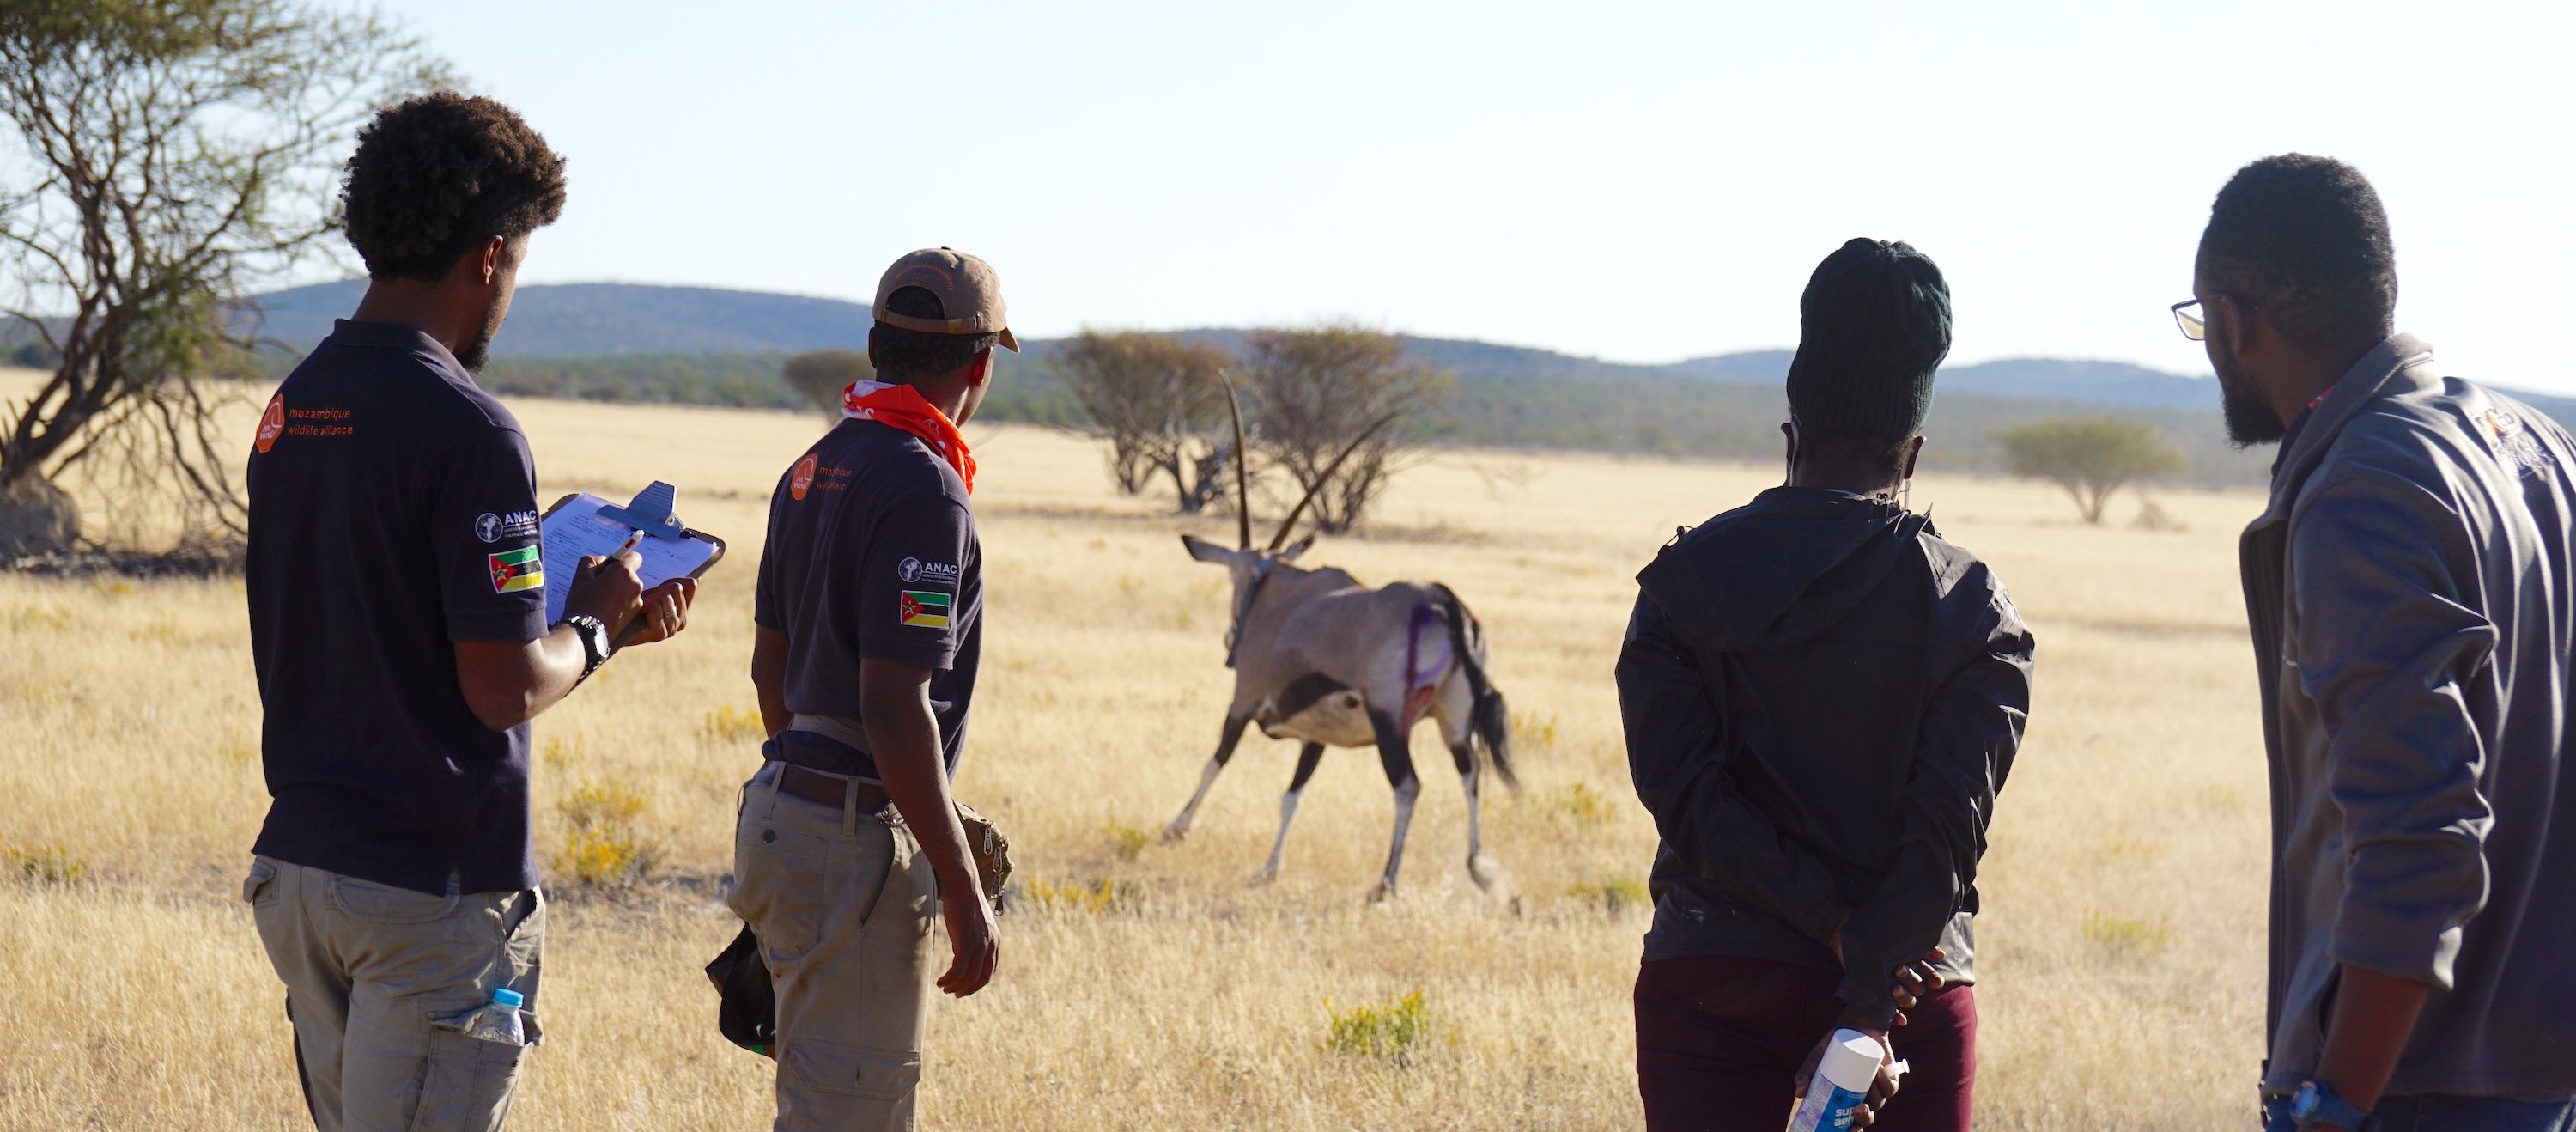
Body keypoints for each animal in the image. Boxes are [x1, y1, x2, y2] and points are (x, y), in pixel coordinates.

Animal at [1164, 389, 1515, 902]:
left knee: (1408, 786)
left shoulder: (1244, 701)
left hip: (1390, 720)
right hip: (1454, 719)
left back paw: (1386, 882)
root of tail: (1441, 600)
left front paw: (1175, 828)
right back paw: (1478, 868)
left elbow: (1216, 762)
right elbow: (1293, 795)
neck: (1277, 593)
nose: (1231, 642)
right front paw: (1268, 869)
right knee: (1471, 776)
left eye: (1233, 576)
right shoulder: (1316, 737)